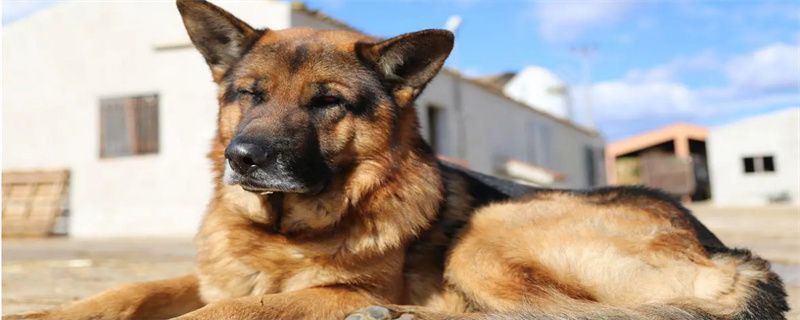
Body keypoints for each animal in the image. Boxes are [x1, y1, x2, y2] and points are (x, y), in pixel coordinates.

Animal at [6, 1, 792, 318]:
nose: (244, 157)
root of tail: (726, 251)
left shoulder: (327, 293)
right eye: (246, 95)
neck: (280, 234)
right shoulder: (208, 277)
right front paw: (48, 313)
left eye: (327, 103)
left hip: (488, 234)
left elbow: (229, 312)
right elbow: (123, 292)